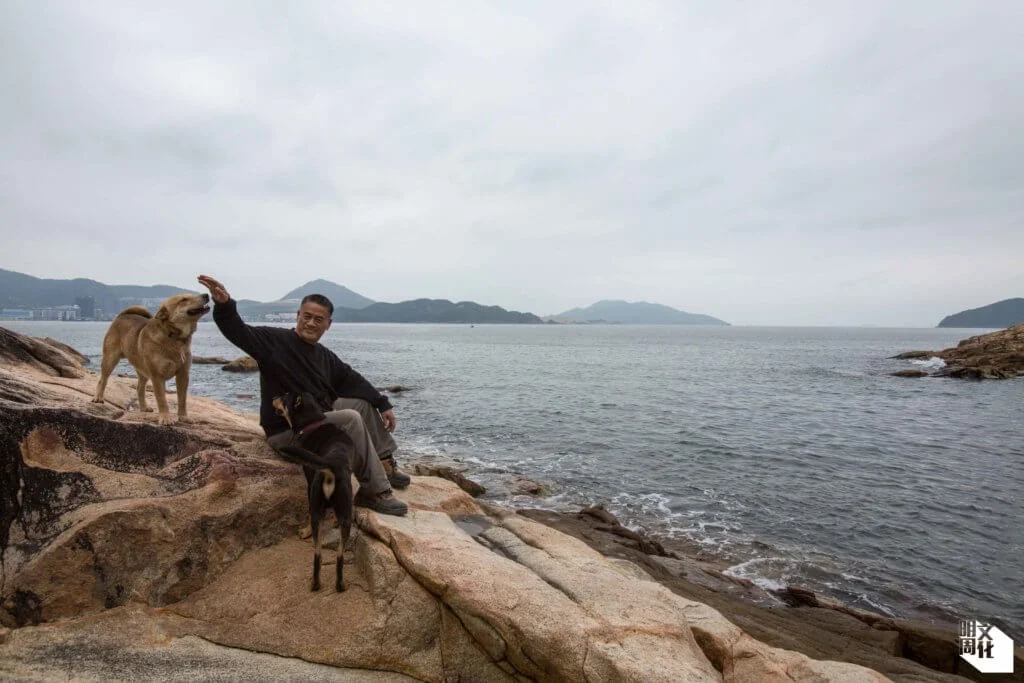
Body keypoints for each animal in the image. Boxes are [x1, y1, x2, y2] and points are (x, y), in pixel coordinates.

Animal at [92, 292, 209, 421]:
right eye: (184, 299)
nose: (206, 294)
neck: (173, 337)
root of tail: (122, 315)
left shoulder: (183, 375)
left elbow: (182, 399)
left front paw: (183, 416)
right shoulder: (157, 376)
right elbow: (161, 399)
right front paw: (165, 418)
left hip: (142, 370)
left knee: (139, 388)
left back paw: (144, 407)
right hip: (110, 359)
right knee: (103, 380)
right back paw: (98, 398)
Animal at [272, 389, 356, 593]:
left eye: (284, 396)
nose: (273, 398)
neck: (312, 422)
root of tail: (333, 464)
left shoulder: (309, 482)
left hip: (319, 504)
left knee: (318, 553)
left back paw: (318, 582)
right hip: (345, 516)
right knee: (336, 555)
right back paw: (336, 585)